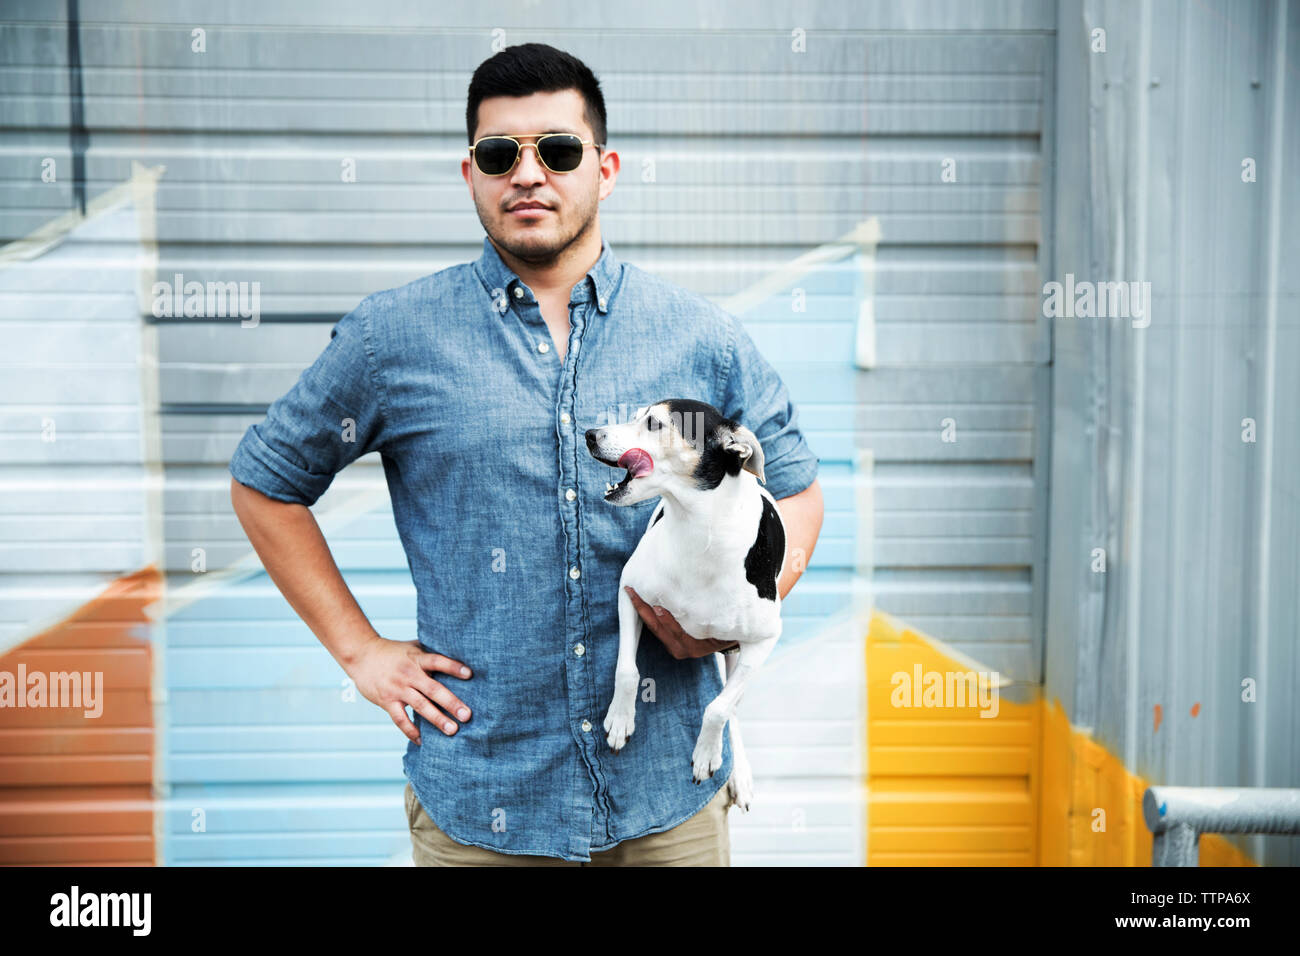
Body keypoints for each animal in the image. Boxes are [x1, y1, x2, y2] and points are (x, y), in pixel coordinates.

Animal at [587, 395, 785, 806]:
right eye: (635, 416)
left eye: (654, 423)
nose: (590, 434)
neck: (698, 530)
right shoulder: (629, 593)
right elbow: (627, 671)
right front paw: (620, 719)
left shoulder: (764, 640)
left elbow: (718, 708)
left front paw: (707, 754)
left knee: (732, 708)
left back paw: (738, 771)